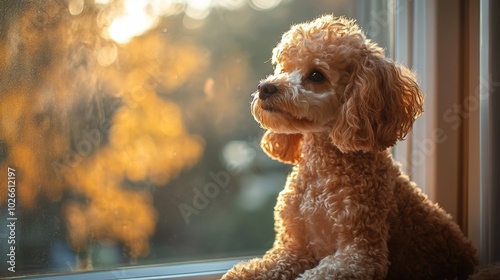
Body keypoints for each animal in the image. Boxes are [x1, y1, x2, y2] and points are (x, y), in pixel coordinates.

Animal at [222, 14, 476, 280]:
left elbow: (321, 273)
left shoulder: (360, 252)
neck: (321, 171)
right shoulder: (295, 249)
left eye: (316, 75)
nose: (265, 88)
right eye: (284, 68)